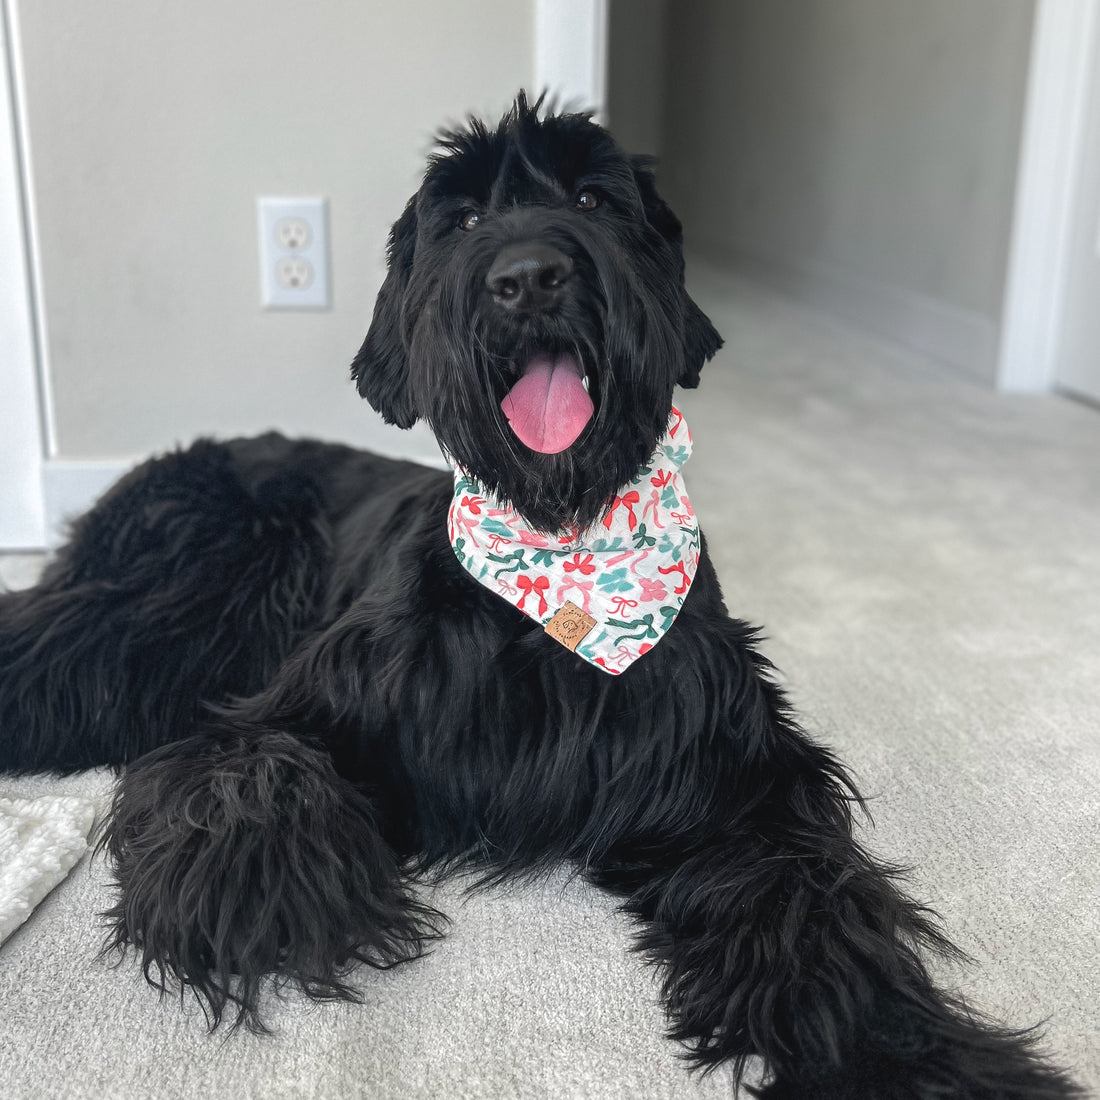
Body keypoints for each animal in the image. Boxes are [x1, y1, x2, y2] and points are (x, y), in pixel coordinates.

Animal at [0, 99, 1082, 1095]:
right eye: (465, 218)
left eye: (593, 198)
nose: (526, 278)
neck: (556, 567)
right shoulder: (295, 702)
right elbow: (247, 768)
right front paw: (261, 890)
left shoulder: (735, 780)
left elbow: (817, 912)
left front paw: (915, 1059)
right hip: (163, 609)